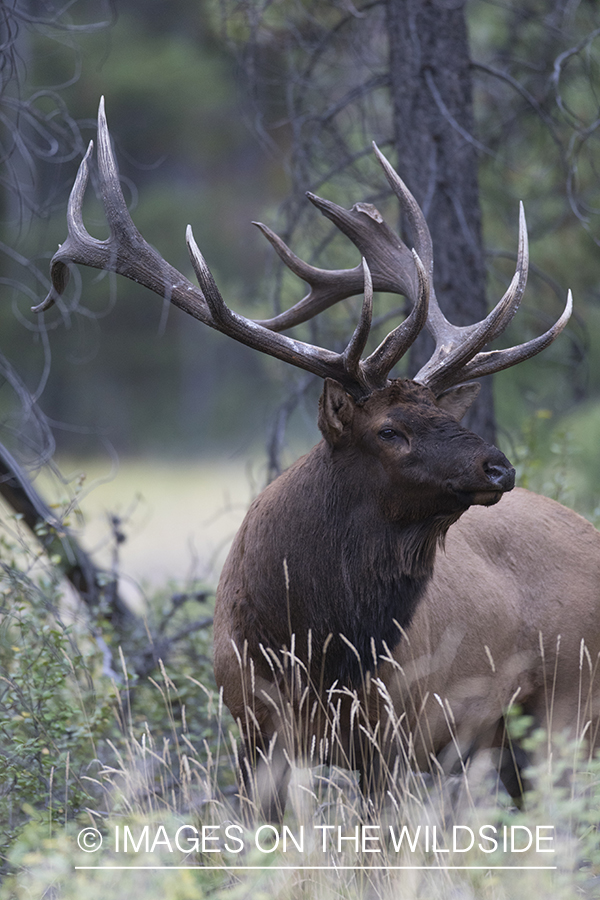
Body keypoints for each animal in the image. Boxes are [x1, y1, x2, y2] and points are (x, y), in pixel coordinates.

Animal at [37, 100, 596, 824]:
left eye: (445, 414)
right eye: (390, 430)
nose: (498, 467)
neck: (309, 645)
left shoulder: (400, 737)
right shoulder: (255, 734)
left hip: (568, 710)